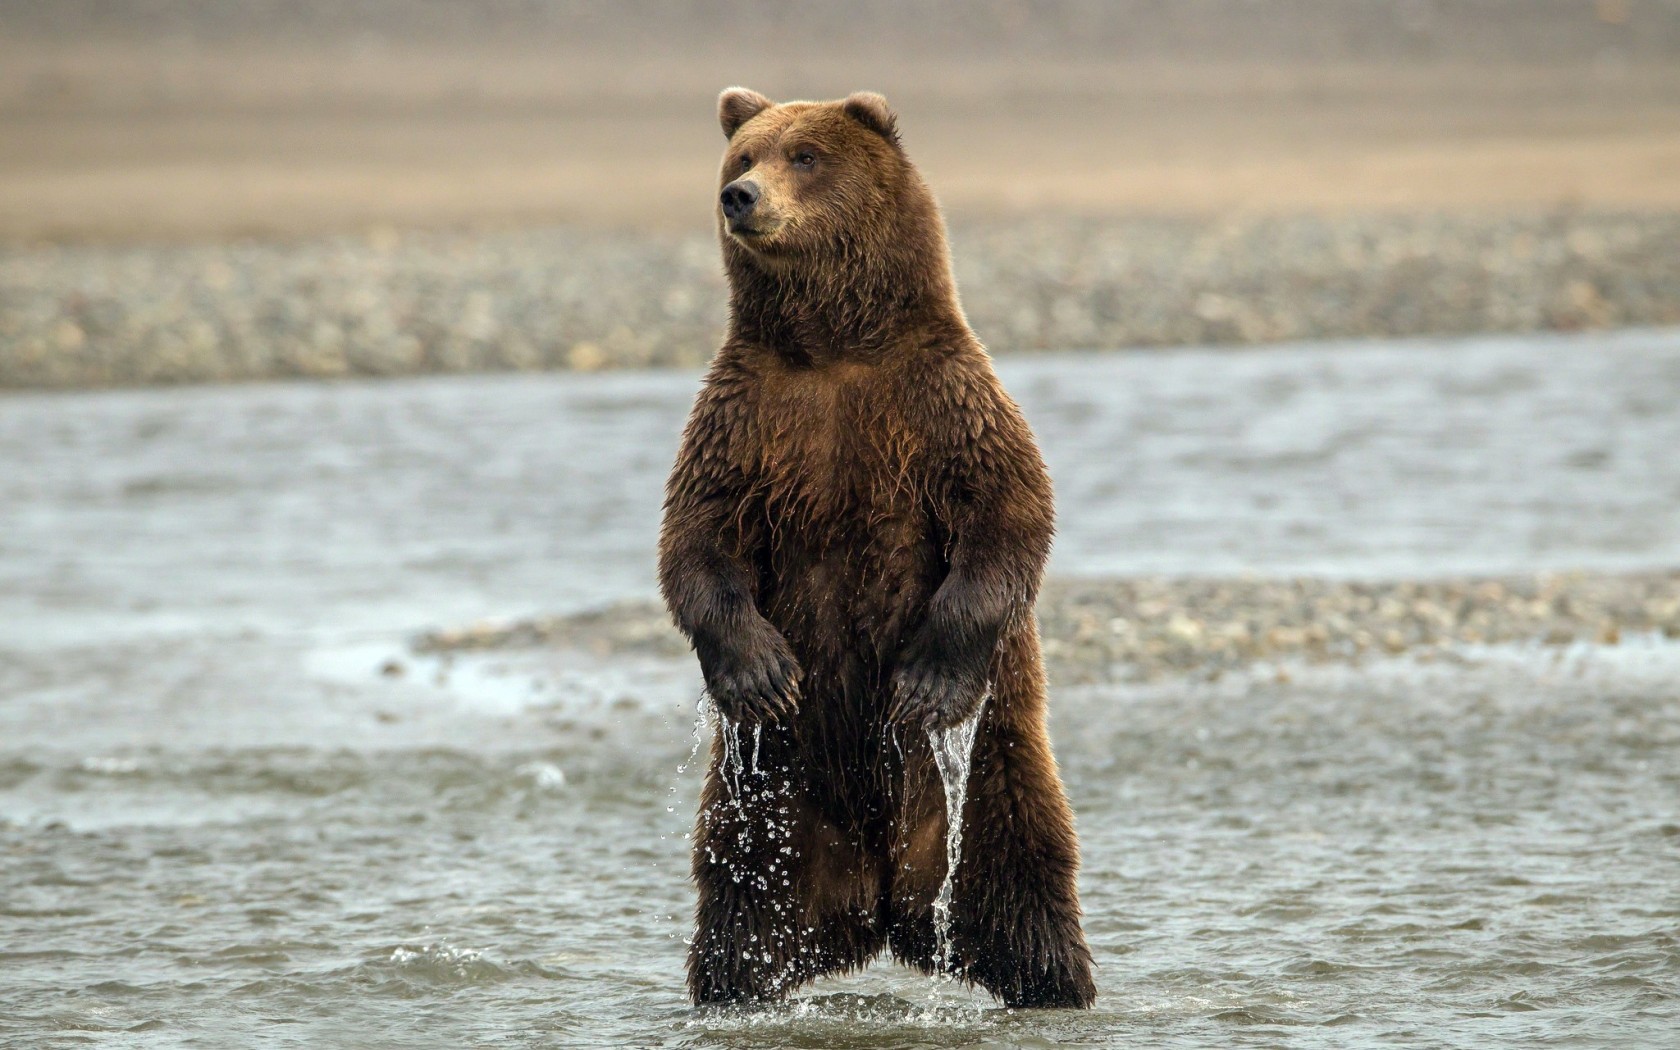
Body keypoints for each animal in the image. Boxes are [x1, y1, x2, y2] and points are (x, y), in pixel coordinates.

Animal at [657, 87, 1096, 1010]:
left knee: (1024, 883)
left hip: (993, 770)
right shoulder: (746, 420)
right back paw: (735, 989)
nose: (740, 197)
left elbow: (1009, 516)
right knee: (739, 904)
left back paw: (1055, 985)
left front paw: (926, 683)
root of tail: (882, 904)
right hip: (769, 800)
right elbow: (698, 541)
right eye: (743, 155)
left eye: (805, 155)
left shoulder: (942, 403)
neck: (833, 347)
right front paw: (761, 673)